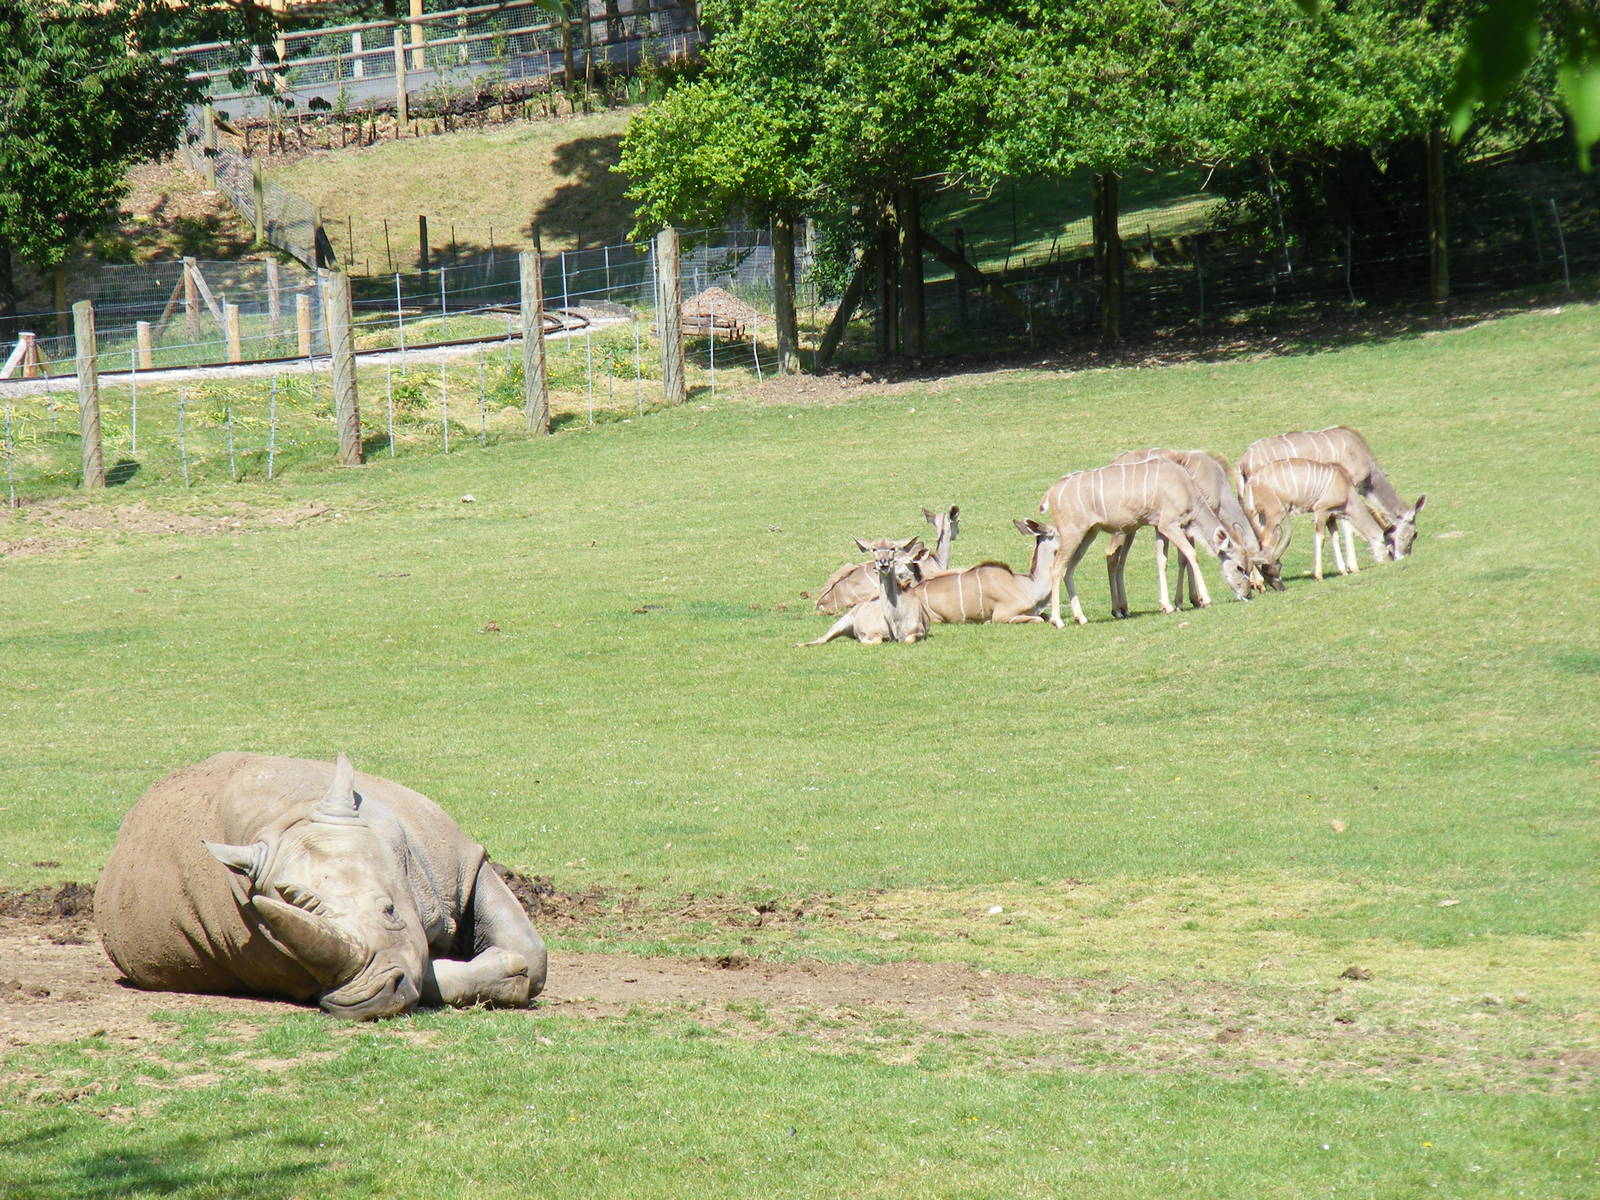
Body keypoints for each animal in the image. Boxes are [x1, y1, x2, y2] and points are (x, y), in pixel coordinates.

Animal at [95, 752, 547, 1020]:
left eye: (391, 910)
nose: (370, 1000)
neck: (288, 817)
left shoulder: (463, 861)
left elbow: (530, 951)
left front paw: (512, 967)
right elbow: (427, 974)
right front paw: (499, 973)